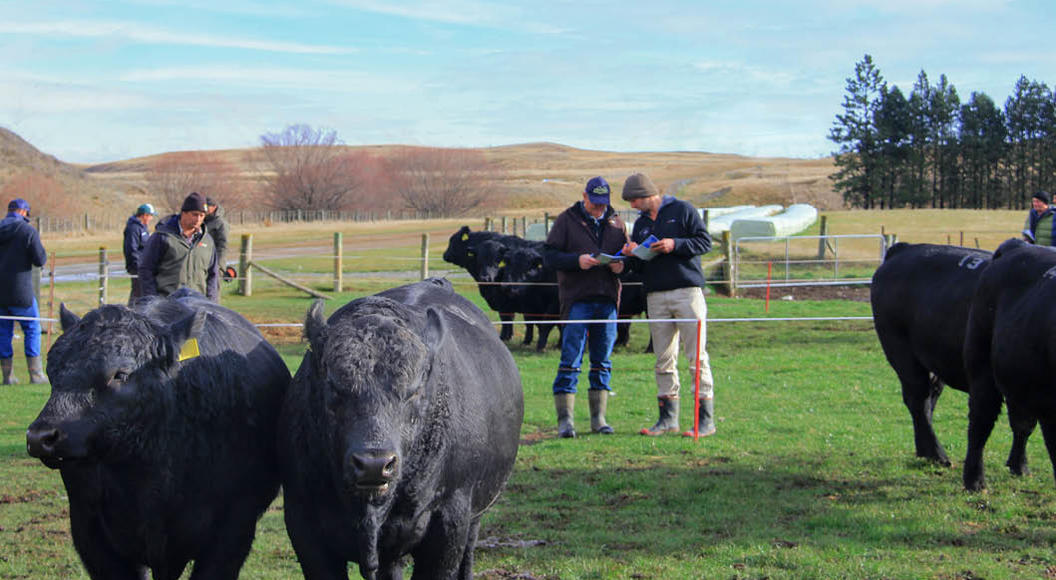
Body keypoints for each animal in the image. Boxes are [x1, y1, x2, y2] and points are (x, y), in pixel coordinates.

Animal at [277, 278, 524, 579]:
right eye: (333, 385)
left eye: (414, 391)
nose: (374, 464)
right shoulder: (303, 524)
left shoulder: (449, 522)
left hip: (476, 513)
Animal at [868, 242, 1032, 471]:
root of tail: (905, 248)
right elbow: (1022, 423)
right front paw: (1019, 465)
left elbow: (1023, 424)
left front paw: (1019, 464)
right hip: (901, 352)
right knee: (917, 399)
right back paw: (937, 454)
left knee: (930, 398)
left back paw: (925, 450)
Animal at [963, 238, 1056, 491]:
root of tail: (1018, 245)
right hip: (981, 368)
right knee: (980, 422)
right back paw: (975, 480)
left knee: (1022, 424)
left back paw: (1019, 466)